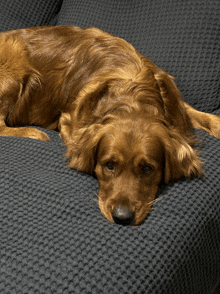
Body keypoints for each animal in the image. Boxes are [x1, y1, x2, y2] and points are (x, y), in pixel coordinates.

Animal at [0, 25, 219, 226]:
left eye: (147, 169)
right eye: (109, 165)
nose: (122, 217)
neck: (131, 95)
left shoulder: (178, 109)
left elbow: (206, 117)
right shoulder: (69, 122)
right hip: (13, 72)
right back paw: (35, 133)